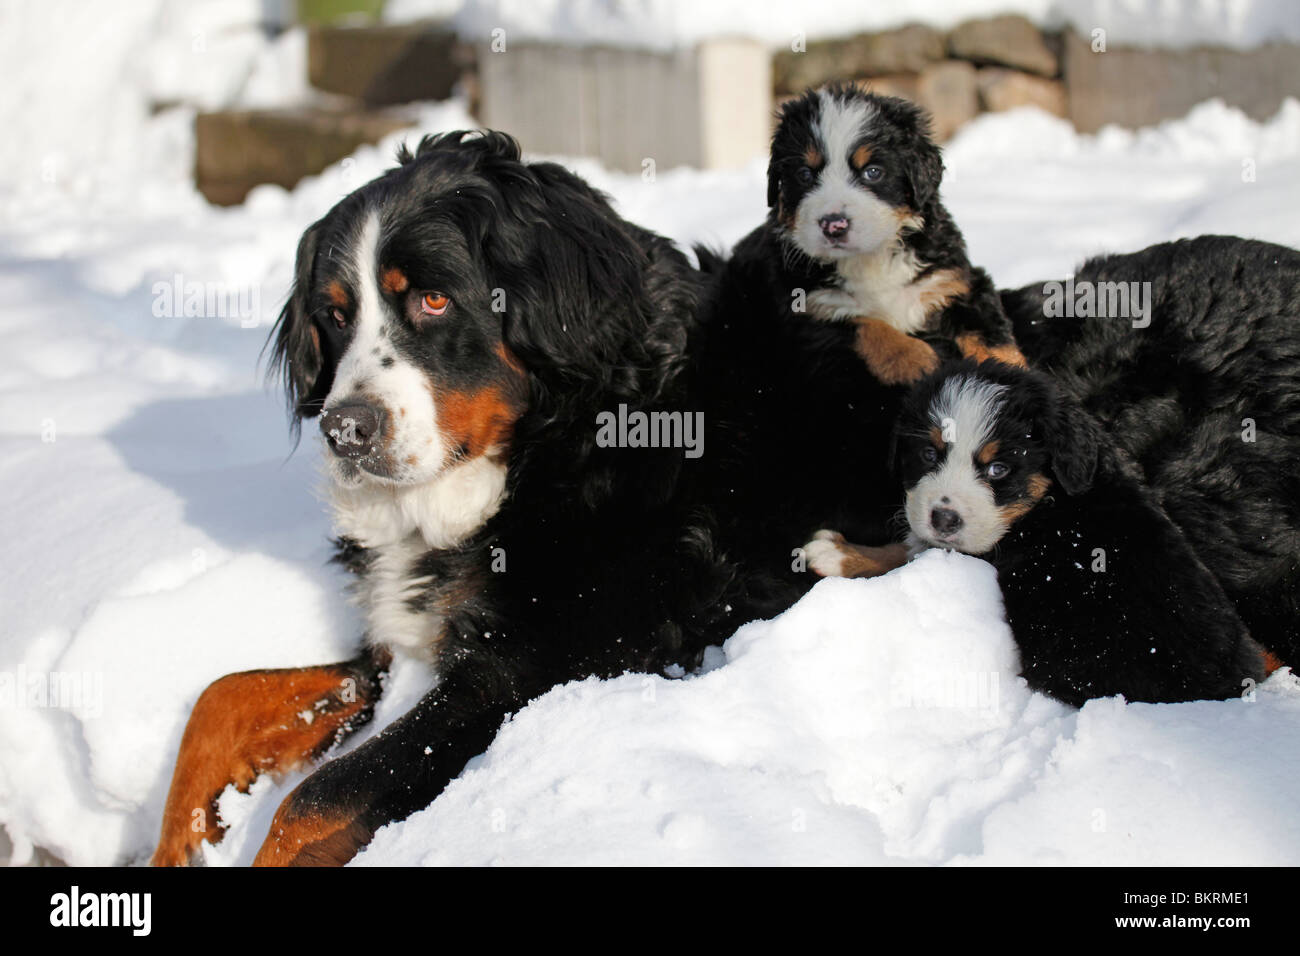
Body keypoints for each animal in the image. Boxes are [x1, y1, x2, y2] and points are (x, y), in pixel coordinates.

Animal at [149, 130, 800, 868]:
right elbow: (222, 696)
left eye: (434, 301)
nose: (344, 430)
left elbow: (315, 801)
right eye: (335, 315)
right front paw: (174, 843)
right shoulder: (399, 648)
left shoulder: (527, 671)